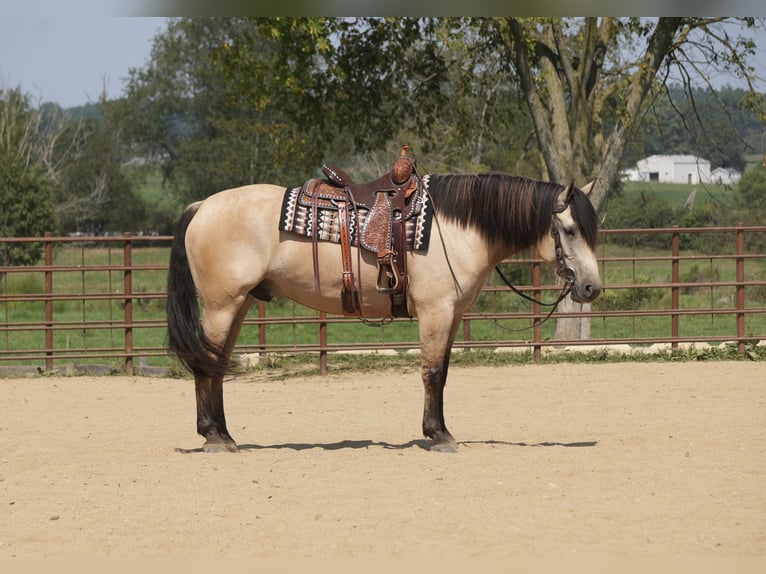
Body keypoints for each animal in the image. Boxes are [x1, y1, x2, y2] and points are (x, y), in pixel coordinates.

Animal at [166, 172, 602, 453]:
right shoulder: (436, 312)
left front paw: (439, 430)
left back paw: (225, 435)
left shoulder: (452, 315)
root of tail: (202, 206)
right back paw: (214, 438)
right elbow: (433, 373)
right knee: (205, 367)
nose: (591, 288)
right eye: (569, 230)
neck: (455, 229)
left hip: (237, 306)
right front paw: (438, 436)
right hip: (222, 306)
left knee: (217, 364)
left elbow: (442, 374)